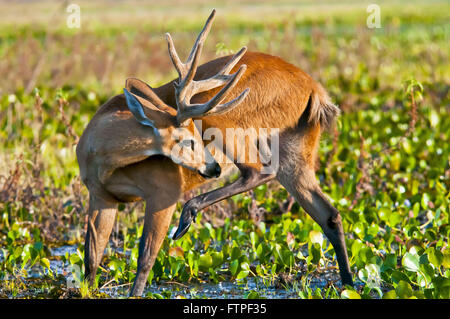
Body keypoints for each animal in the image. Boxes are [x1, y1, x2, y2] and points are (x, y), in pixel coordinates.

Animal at [75, 9, 354, 298]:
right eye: (186, 140)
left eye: (198, 137)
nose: (214, 168)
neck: (103, 158)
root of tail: (316, 91)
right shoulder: (101, 196)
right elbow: (91, 259)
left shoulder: (164, 191)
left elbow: (145, 258)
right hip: (296, 151)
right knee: (329, 214)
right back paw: (348, 284)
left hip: (226, 120)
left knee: (258, 172)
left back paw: (187, 216)